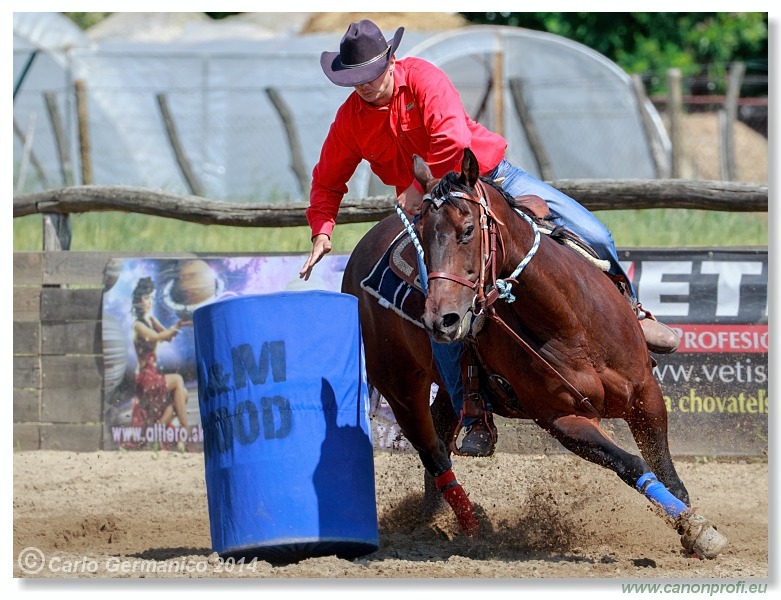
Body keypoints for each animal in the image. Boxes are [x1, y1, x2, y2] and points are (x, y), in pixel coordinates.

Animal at [340, 149, 724, 556]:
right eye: (422, 242)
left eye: (468, 230)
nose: (440, 319)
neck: (571, 323)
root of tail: (358, 253)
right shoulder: (563, 419)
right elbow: (632, 464)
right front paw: (695, 528)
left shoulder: (645, 394)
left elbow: (665, 468)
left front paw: (694, 529)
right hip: (399, 386)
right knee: (433, 453)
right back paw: (470, 528)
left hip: (446, 383)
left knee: (442, 433)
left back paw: (434, 516)